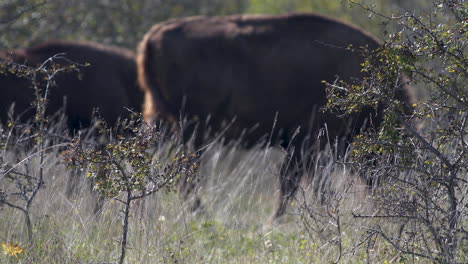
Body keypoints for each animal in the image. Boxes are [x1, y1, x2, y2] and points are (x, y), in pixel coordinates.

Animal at [137, 13, 414, 218]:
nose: (385, 199)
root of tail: (152, 37)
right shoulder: (307, 144)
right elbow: (298, 186)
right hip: (193, 133)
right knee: (187, 180)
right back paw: (205, 218)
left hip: (161, 125)